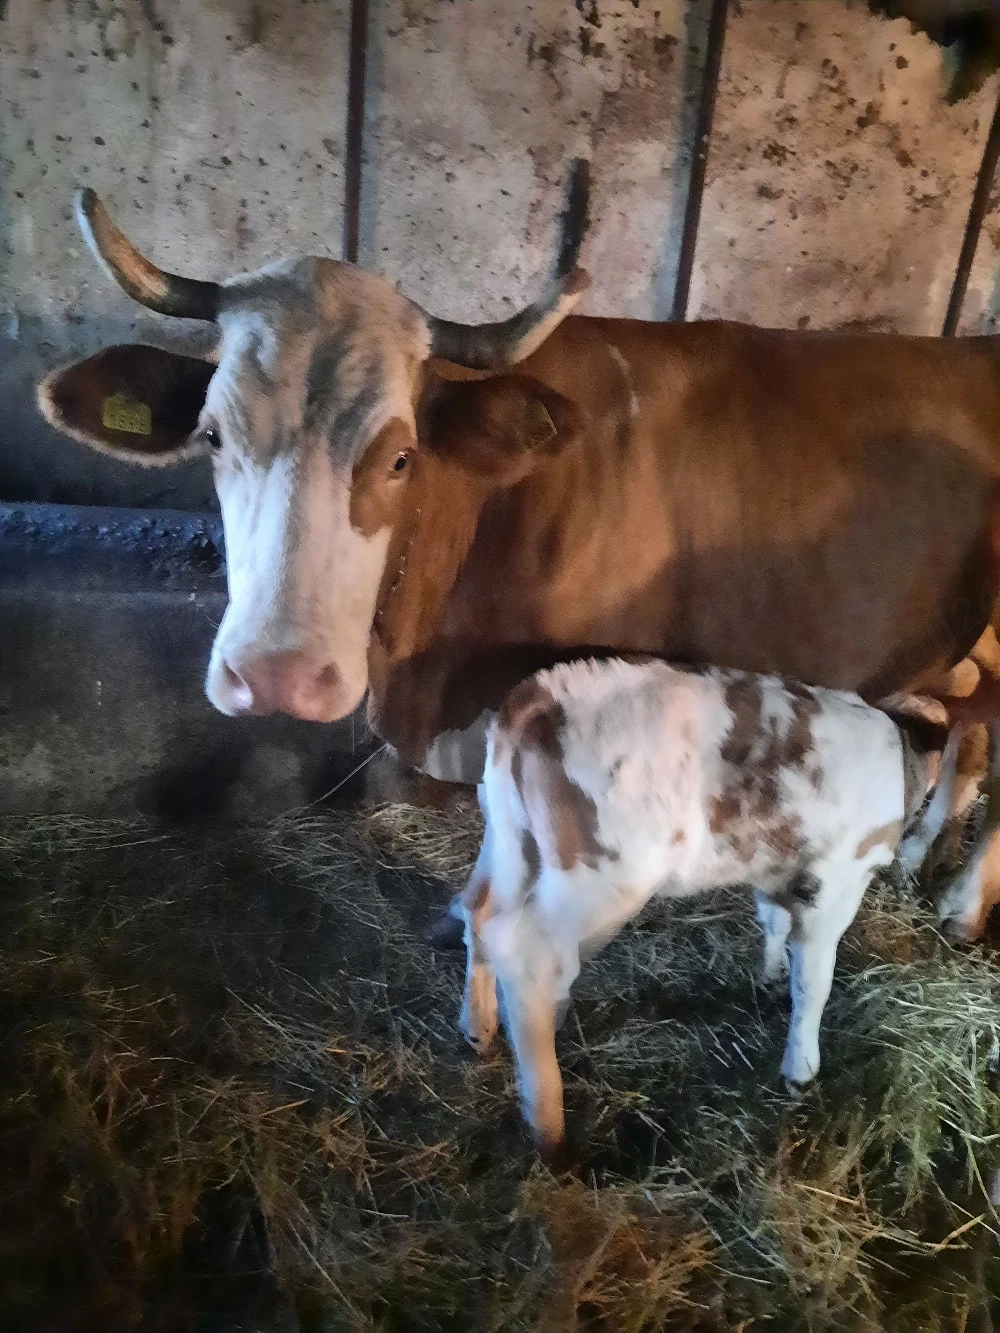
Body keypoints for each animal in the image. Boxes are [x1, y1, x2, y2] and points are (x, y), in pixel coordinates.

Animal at [36, 175, 1000, 940]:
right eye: (211, 434)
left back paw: (960, 906)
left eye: (400, 456)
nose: (279, 675)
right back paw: (918, 855)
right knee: (970, 732)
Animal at [457, 657, 980, 1154]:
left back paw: (479, 1027)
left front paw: (768, 975)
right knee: (527, 955)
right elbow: (814, 980)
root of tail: (542, 693)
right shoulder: (837, 881)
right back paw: (548, 1124)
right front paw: (801, 1067)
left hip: (513, 842)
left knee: (479, 911)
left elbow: (772, 921)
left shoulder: (776, 868)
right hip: (601, 874)